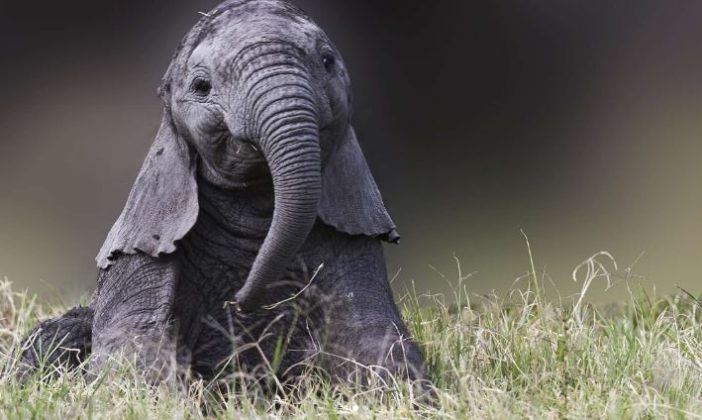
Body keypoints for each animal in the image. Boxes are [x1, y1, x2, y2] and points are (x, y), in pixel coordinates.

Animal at [20, 0, 428, 388]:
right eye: (201, 86)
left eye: (327, 62)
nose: (242, 301)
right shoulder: (138, 253)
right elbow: (133, 348)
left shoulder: (358, 242)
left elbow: (376, 341)